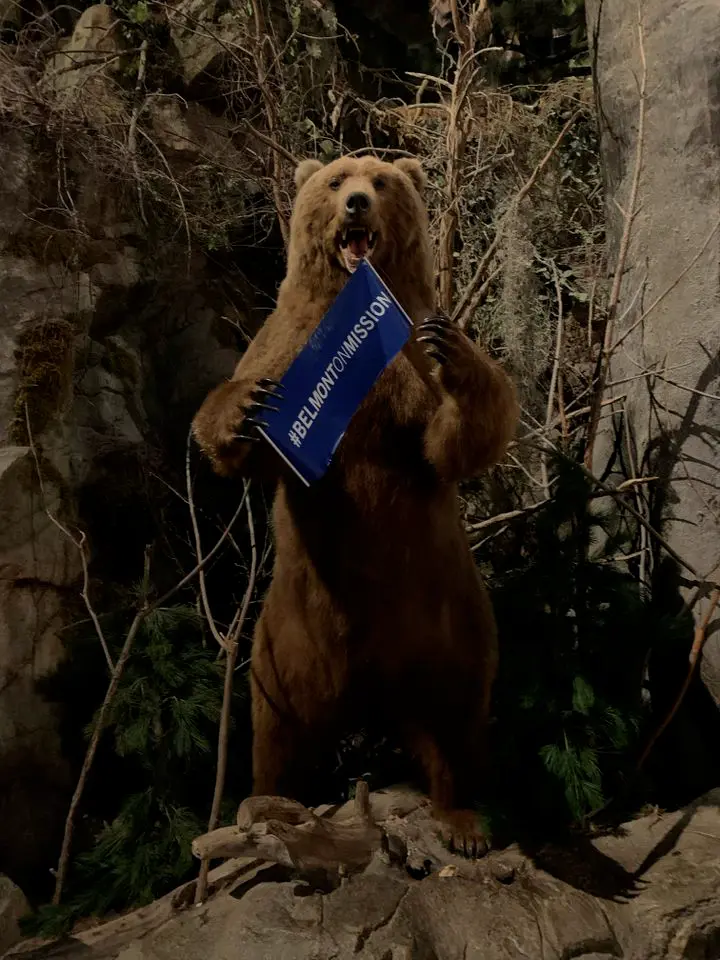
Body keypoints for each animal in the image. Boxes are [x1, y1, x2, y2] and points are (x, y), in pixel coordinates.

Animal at [191, 153, 519, 856]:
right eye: (338, 178)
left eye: (383, 180)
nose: (358, 204)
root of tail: (371, 688)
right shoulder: (283, 342)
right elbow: (243, 438)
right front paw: (246, 406)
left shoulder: (406, 371)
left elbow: (452, 438)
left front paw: (455, 353)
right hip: (284, 641)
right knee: (278, 732)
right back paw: (268, 806)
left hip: (449, 621)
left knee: (455, 714)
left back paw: (462, 821)